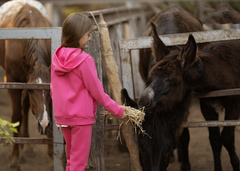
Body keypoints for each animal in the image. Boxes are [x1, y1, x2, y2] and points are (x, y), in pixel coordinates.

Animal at [0, 0, 52, 170]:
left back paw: (27, 146)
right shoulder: (12, 81)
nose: (43, 124)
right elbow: (16, 117)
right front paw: (15, 160)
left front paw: (52, 157)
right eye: (30, 90)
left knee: (25, 108)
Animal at [137, 21, 240, 171]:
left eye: (171, 80)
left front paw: (236, 164)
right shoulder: (207, 106)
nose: (143, 100)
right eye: (151, 78)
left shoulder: (234, 104)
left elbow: (227, 137)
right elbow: (214, 139)